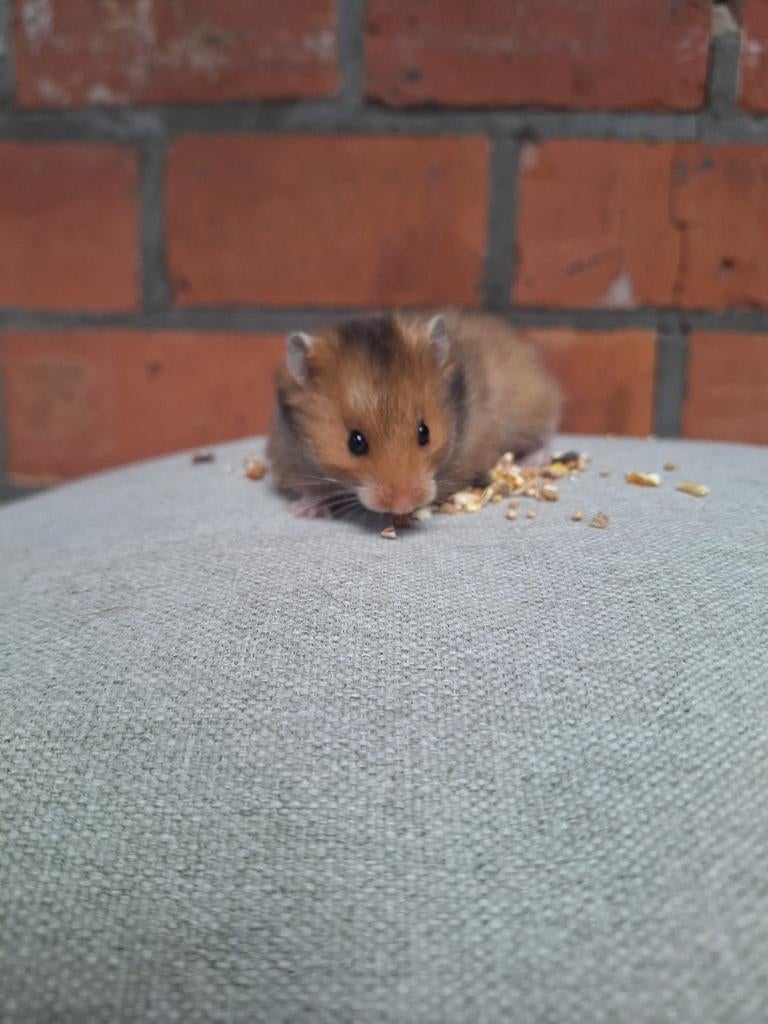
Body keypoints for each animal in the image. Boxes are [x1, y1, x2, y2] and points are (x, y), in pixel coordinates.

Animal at [266, 312, 560, 518]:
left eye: (424, 432)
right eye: (355, 442)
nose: (403, 506)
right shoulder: (287, 456)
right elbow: (305, 487)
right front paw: (307, 511)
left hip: (533, 404)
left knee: (545, 434)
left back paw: (531, 462)